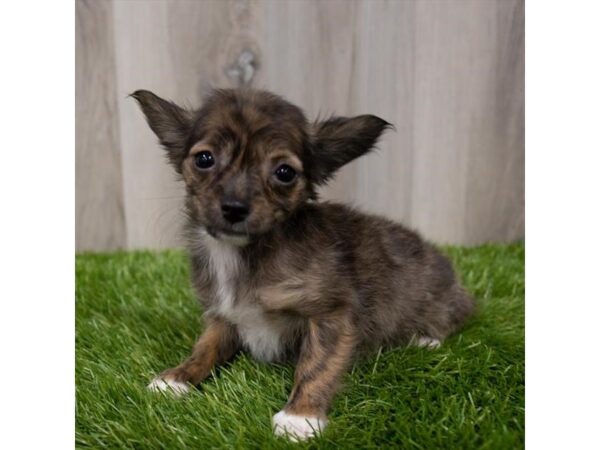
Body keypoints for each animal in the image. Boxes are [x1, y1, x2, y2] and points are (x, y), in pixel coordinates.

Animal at [131, 87, 474, 440]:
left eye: (284, 173)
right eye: (204, 159)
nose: (234, 208)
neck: (243, 253)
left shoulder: (332, 312)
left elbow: (317, 364)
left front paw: (300, 415)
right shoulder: (222, 317)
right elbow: (204, 348)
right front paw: (177, 376)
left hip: (442, 299)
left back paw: (424, 338)